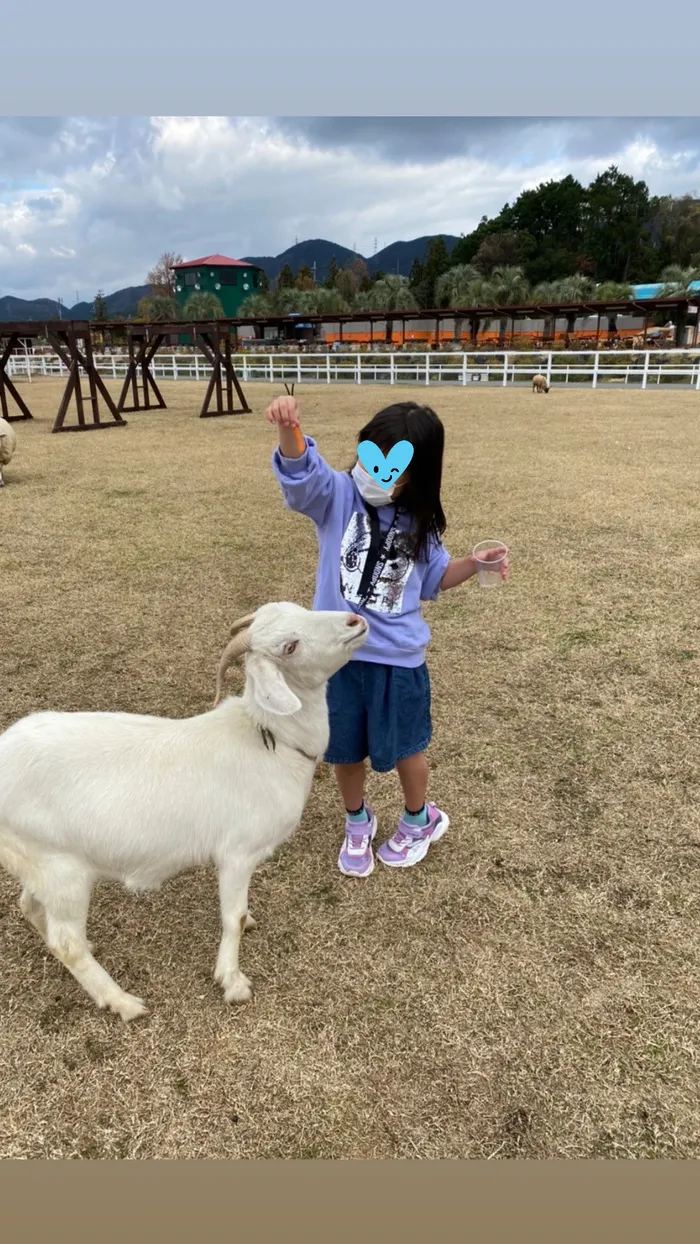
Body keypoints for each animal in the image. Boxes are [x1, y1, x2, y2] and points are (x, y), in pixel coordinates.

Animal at [0, 602, 370, 1020]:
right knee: (67, 943)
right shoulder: (237, 853)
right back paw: (123, 1001)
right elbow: (232, 917)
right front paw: (232, 982)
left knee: (31, 906)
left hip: (37, 864)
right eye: (289, 646)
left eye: (301, 609)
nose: (355, 621)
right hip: (61, 870)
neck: (269, 740)